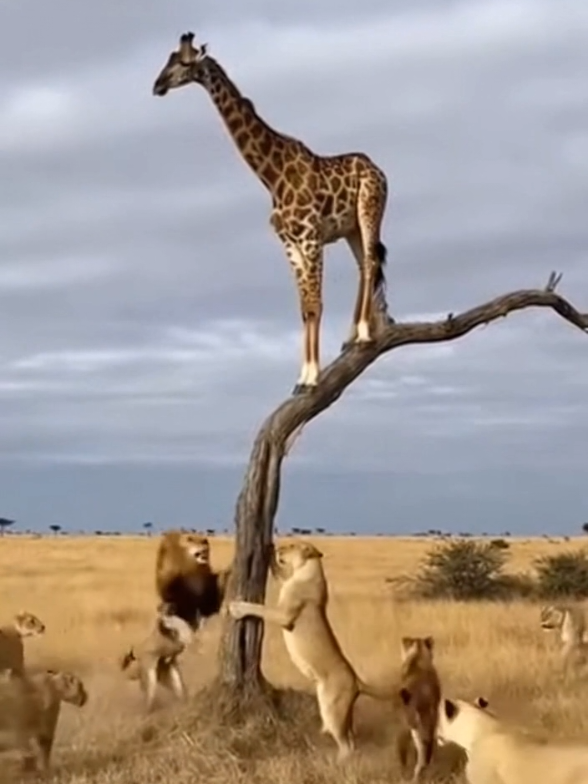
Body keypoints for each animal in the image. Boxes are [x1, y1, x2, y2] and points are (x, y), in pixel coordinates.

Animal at [152, 32, 394, 395]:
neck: (271, 176)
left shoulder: (310, 238)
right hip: (350, 228)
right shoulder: (289, 243)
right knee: (364, 266)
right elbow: (304, 307)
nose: (157, 85)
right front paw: (302, 377)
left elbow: (315, 303)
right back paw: (351, 336)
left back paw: (364, 333)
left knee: (371, 259)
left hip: (370, 210)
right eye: (168, 59)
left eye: (182, 62)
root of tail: (379, 170)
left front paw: (312, 378)